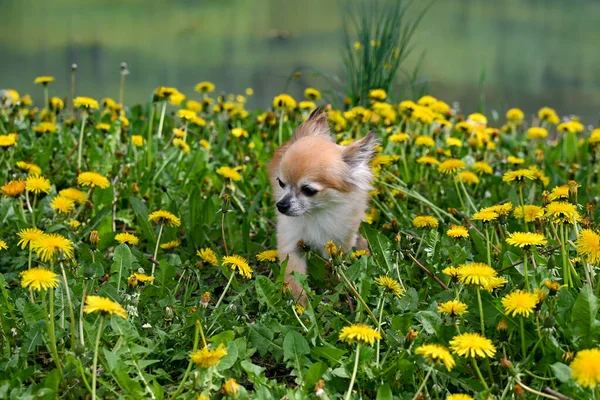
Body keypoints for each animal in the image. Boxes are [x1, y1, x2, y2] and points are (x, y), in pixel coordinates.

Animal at [270, 109, 378, 304]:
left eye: (309, 190)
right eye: (281, 183)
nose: (281, 205)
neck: (316, 213)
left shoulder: (337, 244)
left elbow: (335, 266)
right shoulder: (291, 244)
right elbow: (293, 278)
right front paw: (301, 304)